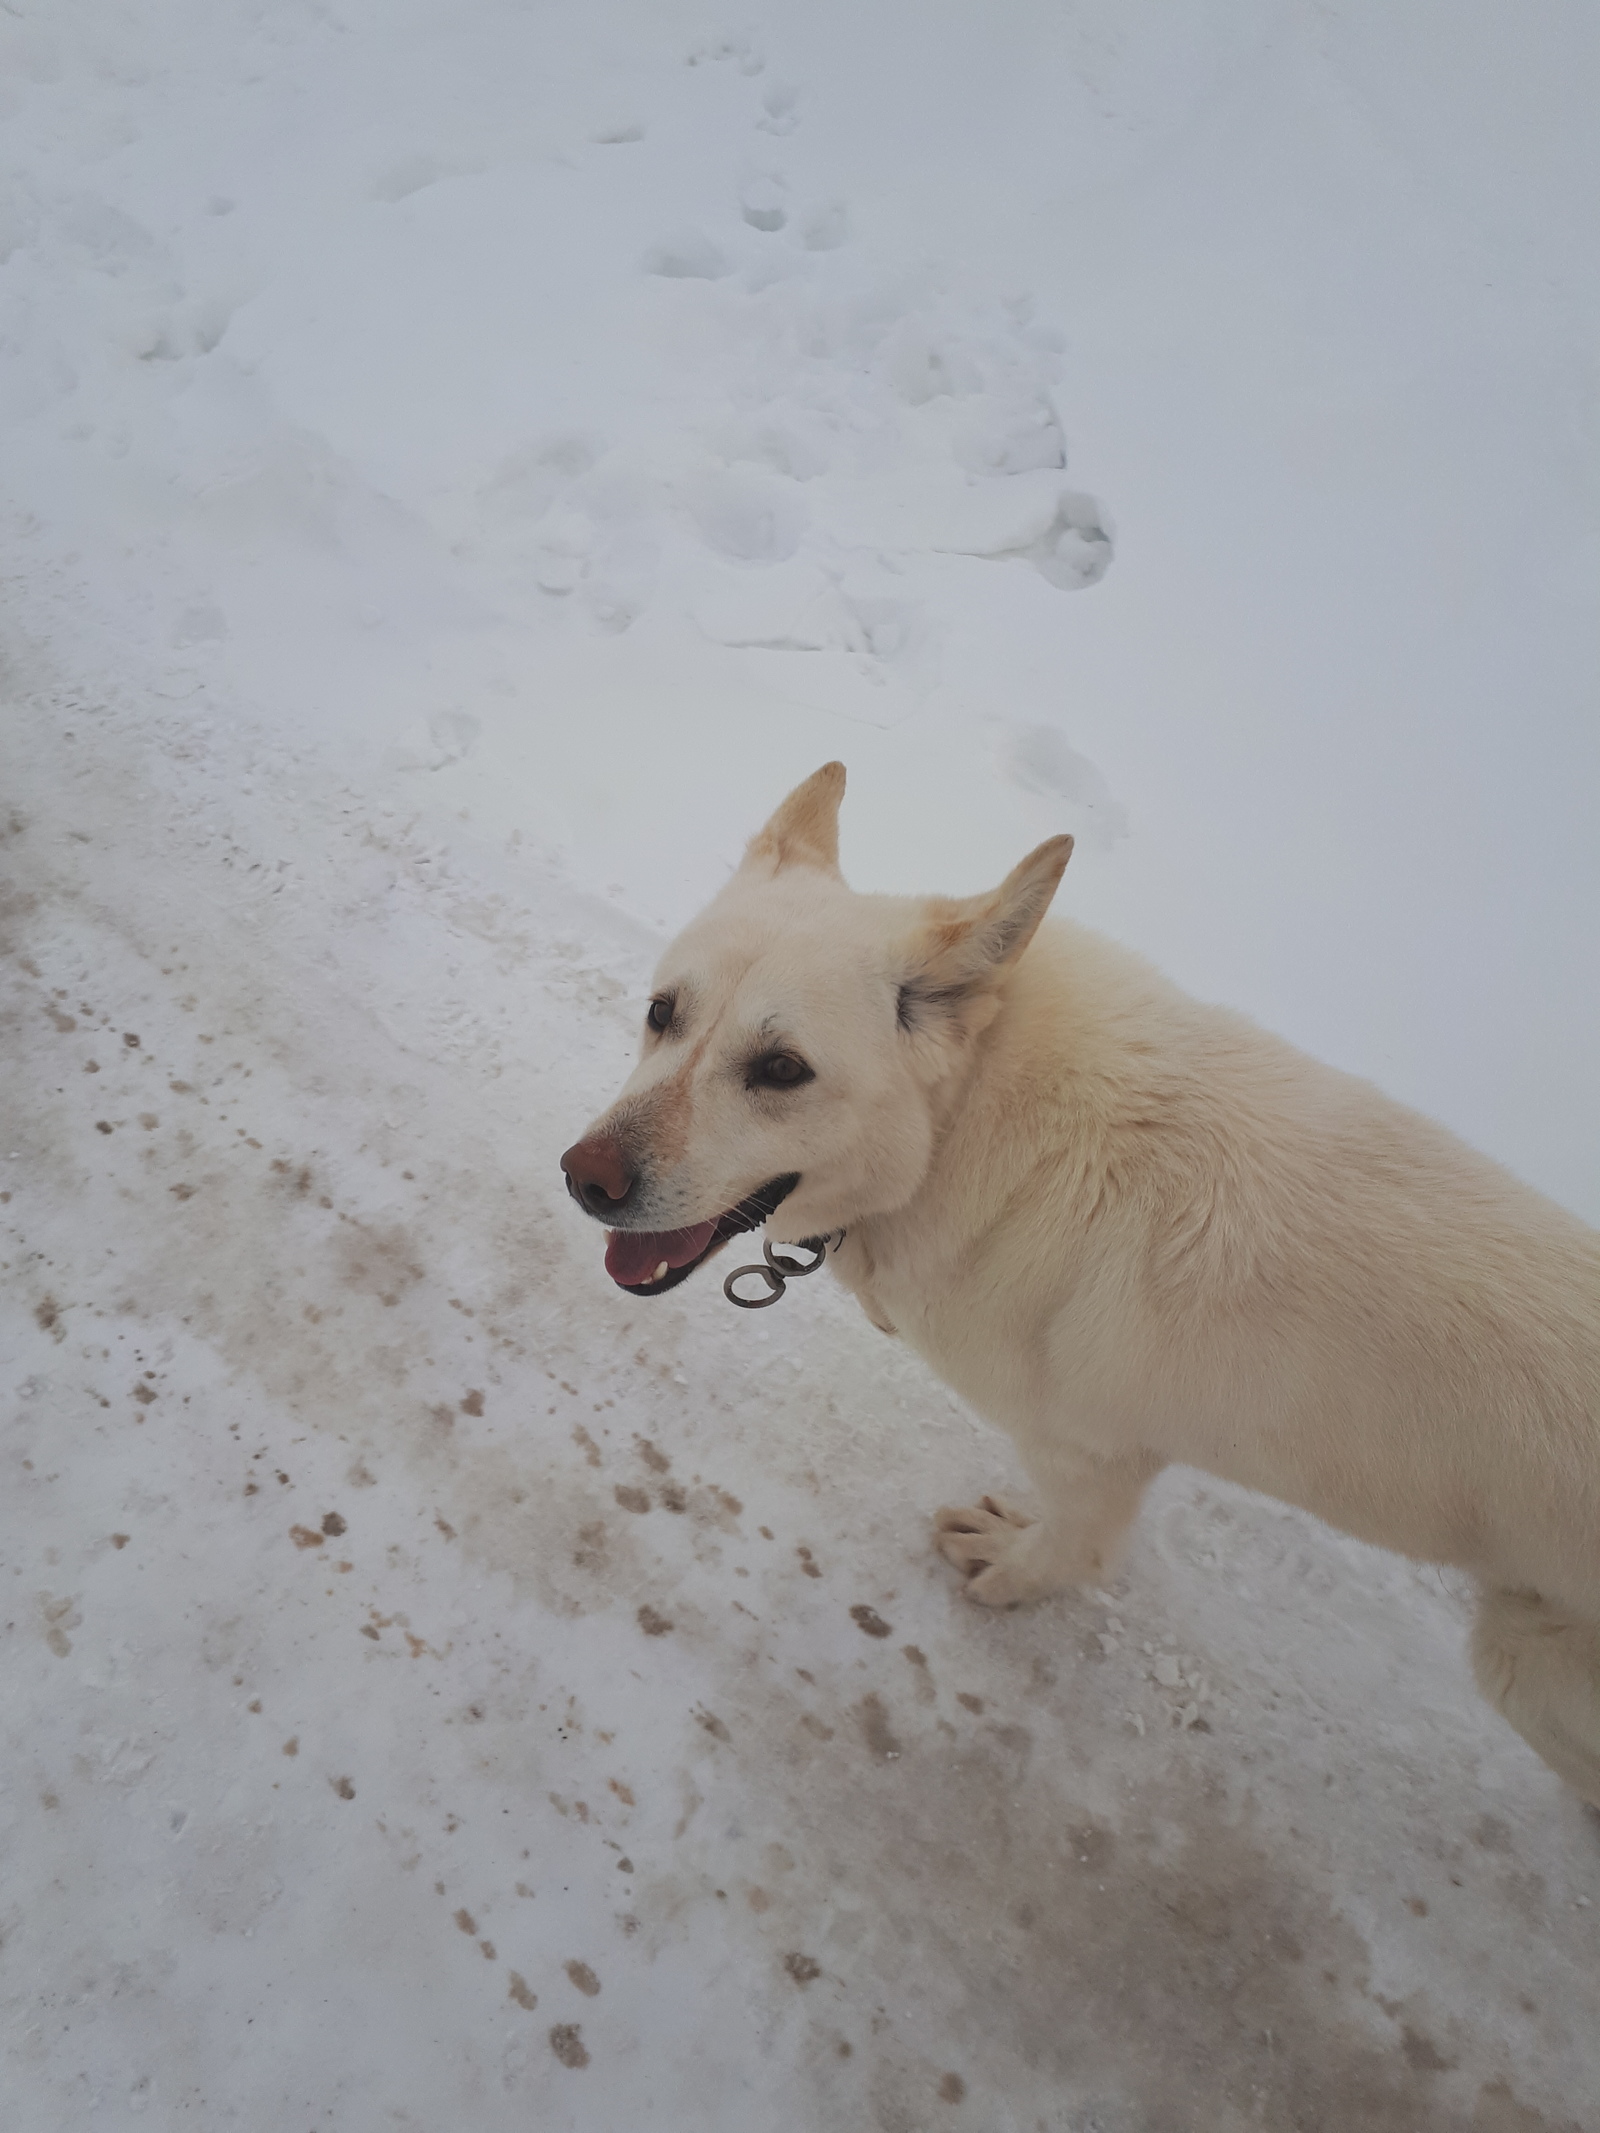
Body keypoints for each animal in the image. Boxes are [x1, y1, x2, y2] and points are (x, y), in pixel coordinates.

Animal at [563, 767, 1600, 1800]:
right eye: (663, 1013)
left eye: (782, 1069)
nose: (585, 1179)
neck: (963, 1129)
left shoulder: (1089, 1453)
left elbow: (1076, 1547)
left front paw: (1016, 1571)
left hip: (1526, 1660)